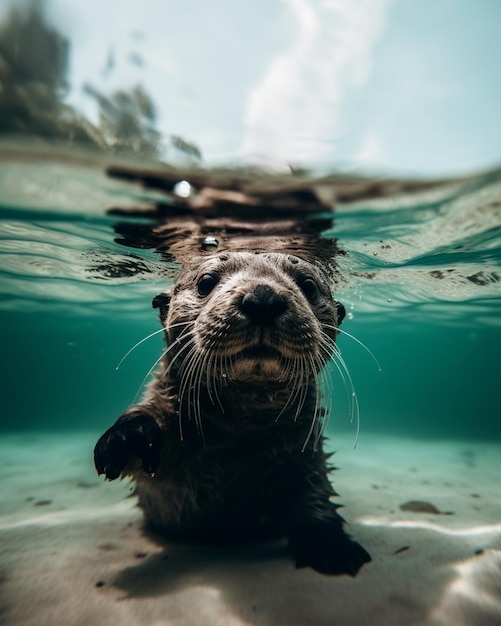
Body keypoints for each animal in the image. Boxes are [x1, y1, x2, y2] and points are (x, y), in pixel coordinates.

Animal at [94, 249, 372, 576]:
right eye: (205, 282)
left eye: (309, 285)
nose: (263, 298)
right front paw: (130, 437)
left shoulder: (304, 450)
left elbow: (313, 492)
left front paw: (332, 547)